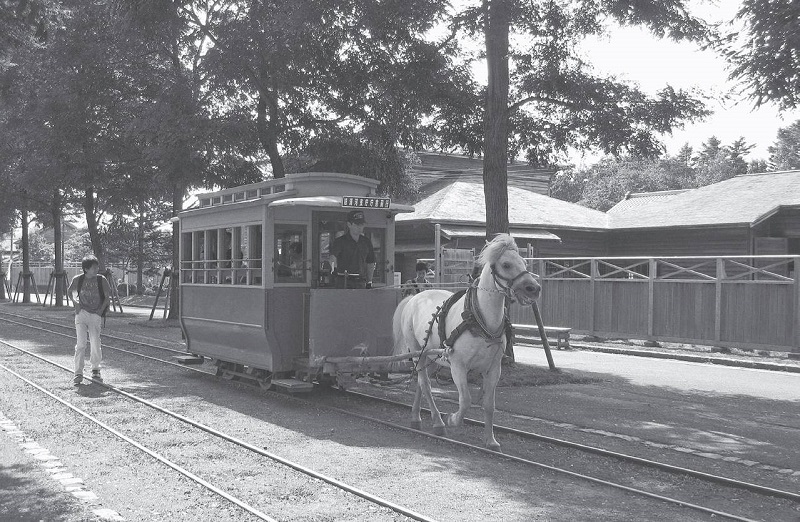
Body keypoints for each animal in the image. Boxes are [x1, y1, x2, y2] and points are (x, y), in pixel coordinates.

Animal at [390, 234, 540, 448]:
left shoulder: (494, 369)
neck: (480, 320)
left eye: (524, 262)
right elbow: (466, 400)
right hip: (417, 351)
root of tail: (413, 298)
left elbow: (489, 404)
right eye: (506, 264)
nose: (534, 288)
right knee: (425, 384)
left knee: (420, 382)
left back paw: (415, 417)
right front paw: (452, 419)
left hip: (432, 357)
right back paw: (438, 422)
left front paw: (490, 440)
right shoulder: (458, 366)